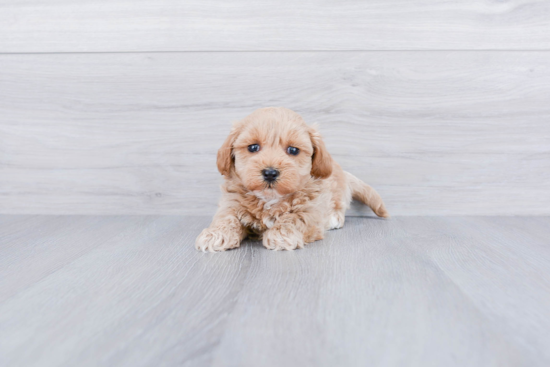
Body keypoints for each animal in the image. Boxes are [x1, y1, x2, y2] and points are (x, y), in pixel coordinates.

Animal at [196, 107, 390, 253]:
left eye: (293, 150)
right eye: (253, 147)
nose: (270, 173)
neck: (270, 198)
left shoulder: (311, 209)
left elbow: (294, 218)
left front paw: (281, 234)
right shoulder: (231, 203)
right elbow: (226, 217)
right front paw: (216, 234)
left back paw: (334, 218)